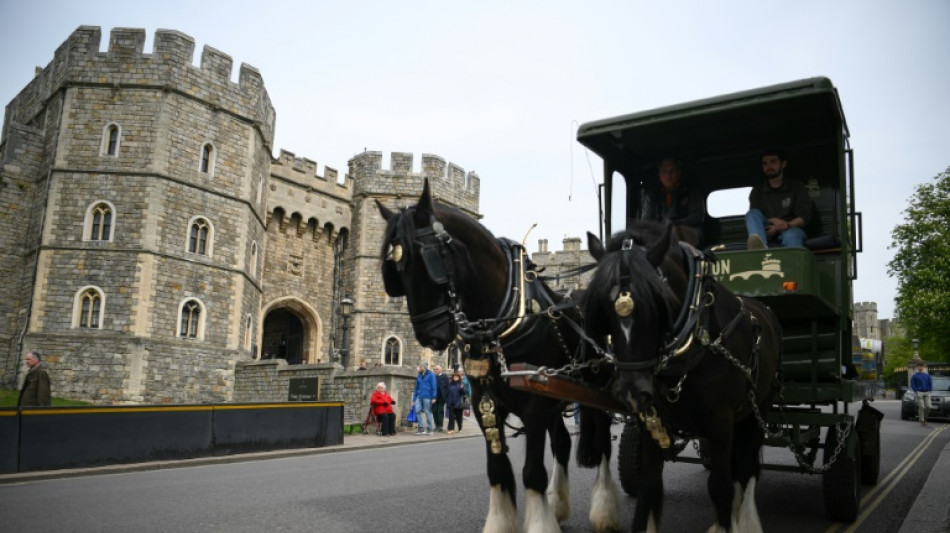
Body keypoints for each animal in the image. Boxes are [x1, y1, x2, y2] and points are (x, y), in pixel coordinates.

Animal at [380, 181, 624, 528]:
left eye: (428, 263)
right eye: (394, 273)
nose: (430, 335)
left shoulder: (534, 406)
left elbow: (532, 473)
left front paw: (540, 523)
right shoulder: (486, 402)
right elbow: (498, 471)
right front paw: (505, 521)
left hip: (596, 393)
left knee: (602, 443)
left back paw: (604, 509)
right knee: (563, 444)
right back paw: (558, 504)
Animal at [588, 222, 780, 532]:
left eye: (658, 302)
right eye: (603, 308)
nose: (631, 391)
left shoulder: (721, 419)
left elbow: (721, 487)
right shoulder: (651, 421)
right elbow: (649, 485)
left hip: (758, 409)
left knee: (748, 468)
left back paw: (746, 519)